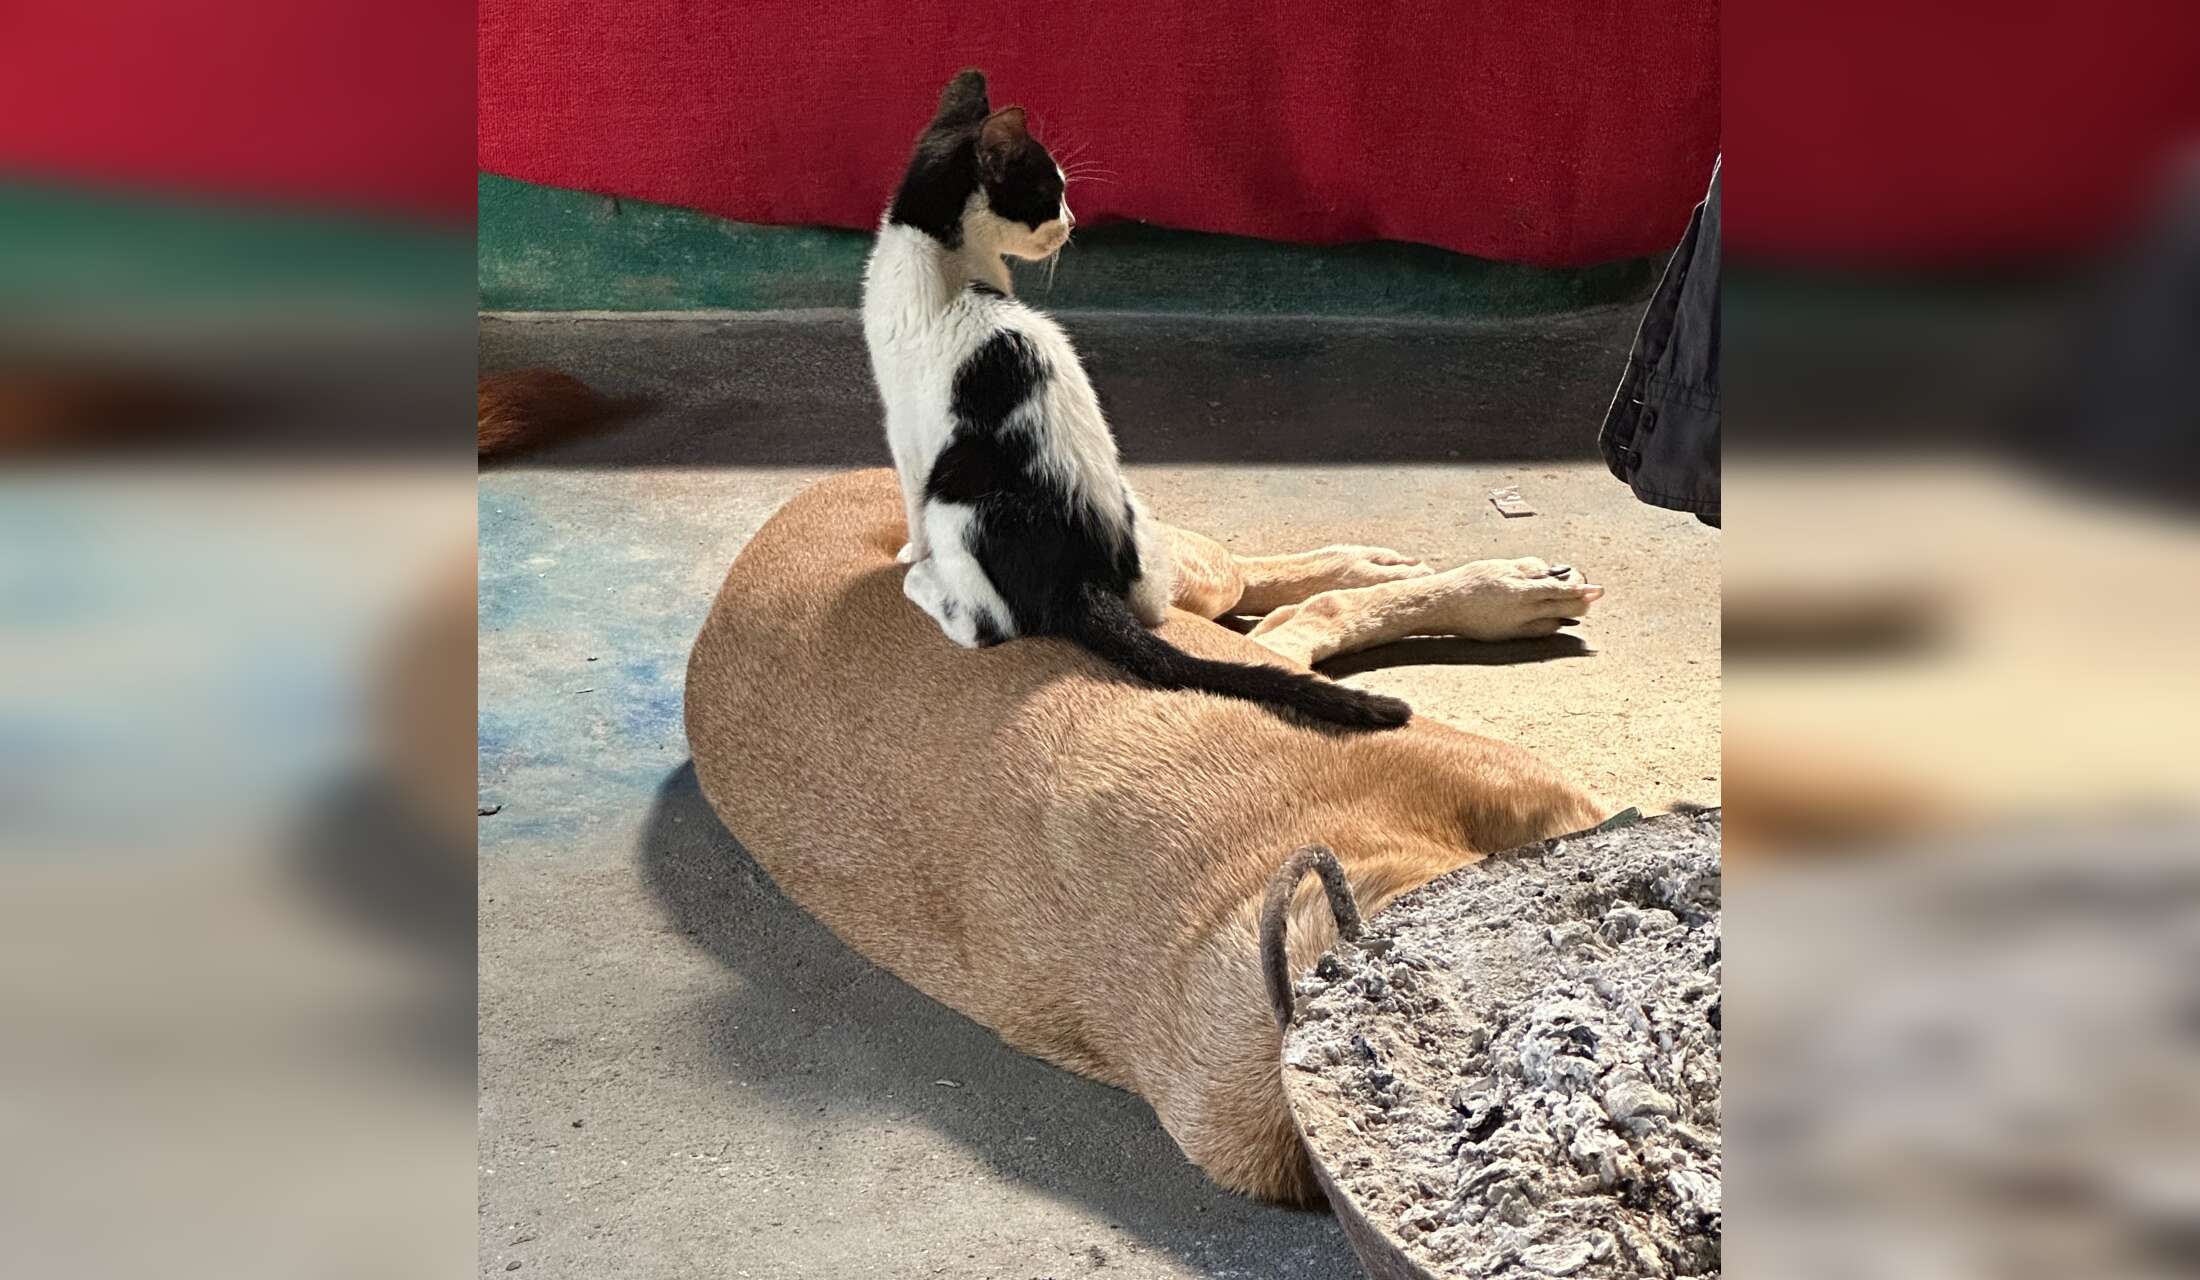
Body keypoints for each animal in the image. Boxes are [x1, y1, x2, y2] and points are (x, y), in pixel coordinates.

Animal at [861, 70, 1409, 730]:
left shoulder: (907, 427)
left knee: (985, 625)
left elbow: (910, 503)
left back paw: (924, 582)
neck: (942, 253)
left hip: (957, 493)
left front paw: (908, 553)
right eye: (1050, 193)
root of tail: (1087, 579)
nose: (1072, 221)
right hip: (1134, 514)